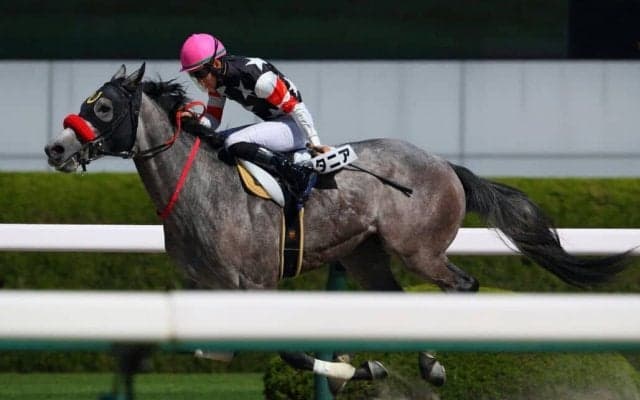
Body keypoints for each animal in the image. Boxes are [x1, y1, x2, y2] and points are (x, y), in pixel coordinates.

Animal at [44, 64, 629, 391]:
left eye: (104, 107)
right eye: (86, 104)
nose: (55, 148)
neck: (201, 193)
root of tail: (444, 163)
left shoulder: (257, 285)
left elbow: (290, 351)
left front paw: (357, 369)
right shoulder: (203, 293)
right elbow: (203, 349)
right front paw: (366, 366)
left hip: (417, 249)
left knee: (461, 286)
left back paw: (436, 364)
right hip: (365, 255)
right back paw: (423, 364)